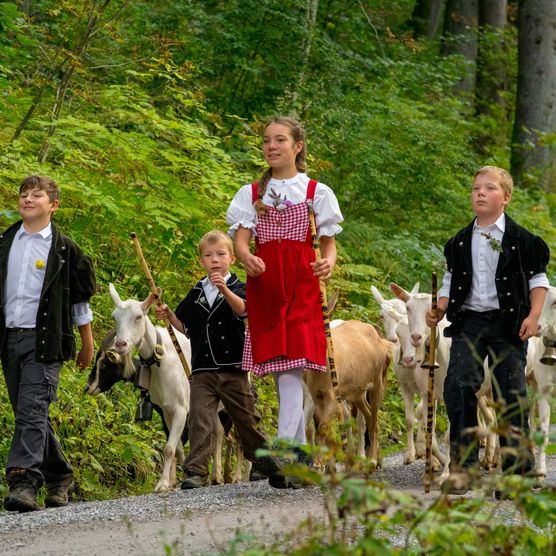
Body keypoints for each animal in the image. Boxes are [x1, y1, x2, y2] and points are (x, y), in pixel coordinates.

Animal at [306, 320, 394, 466]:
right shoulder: (316, 396)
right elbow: (319, 428)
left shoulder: (331, 396)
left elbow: (322, 429)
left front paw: (319, 464)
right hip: (357, 392)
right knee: (368, 415)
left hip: (376, 384)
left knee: (373, 420)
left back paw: (372, 459)